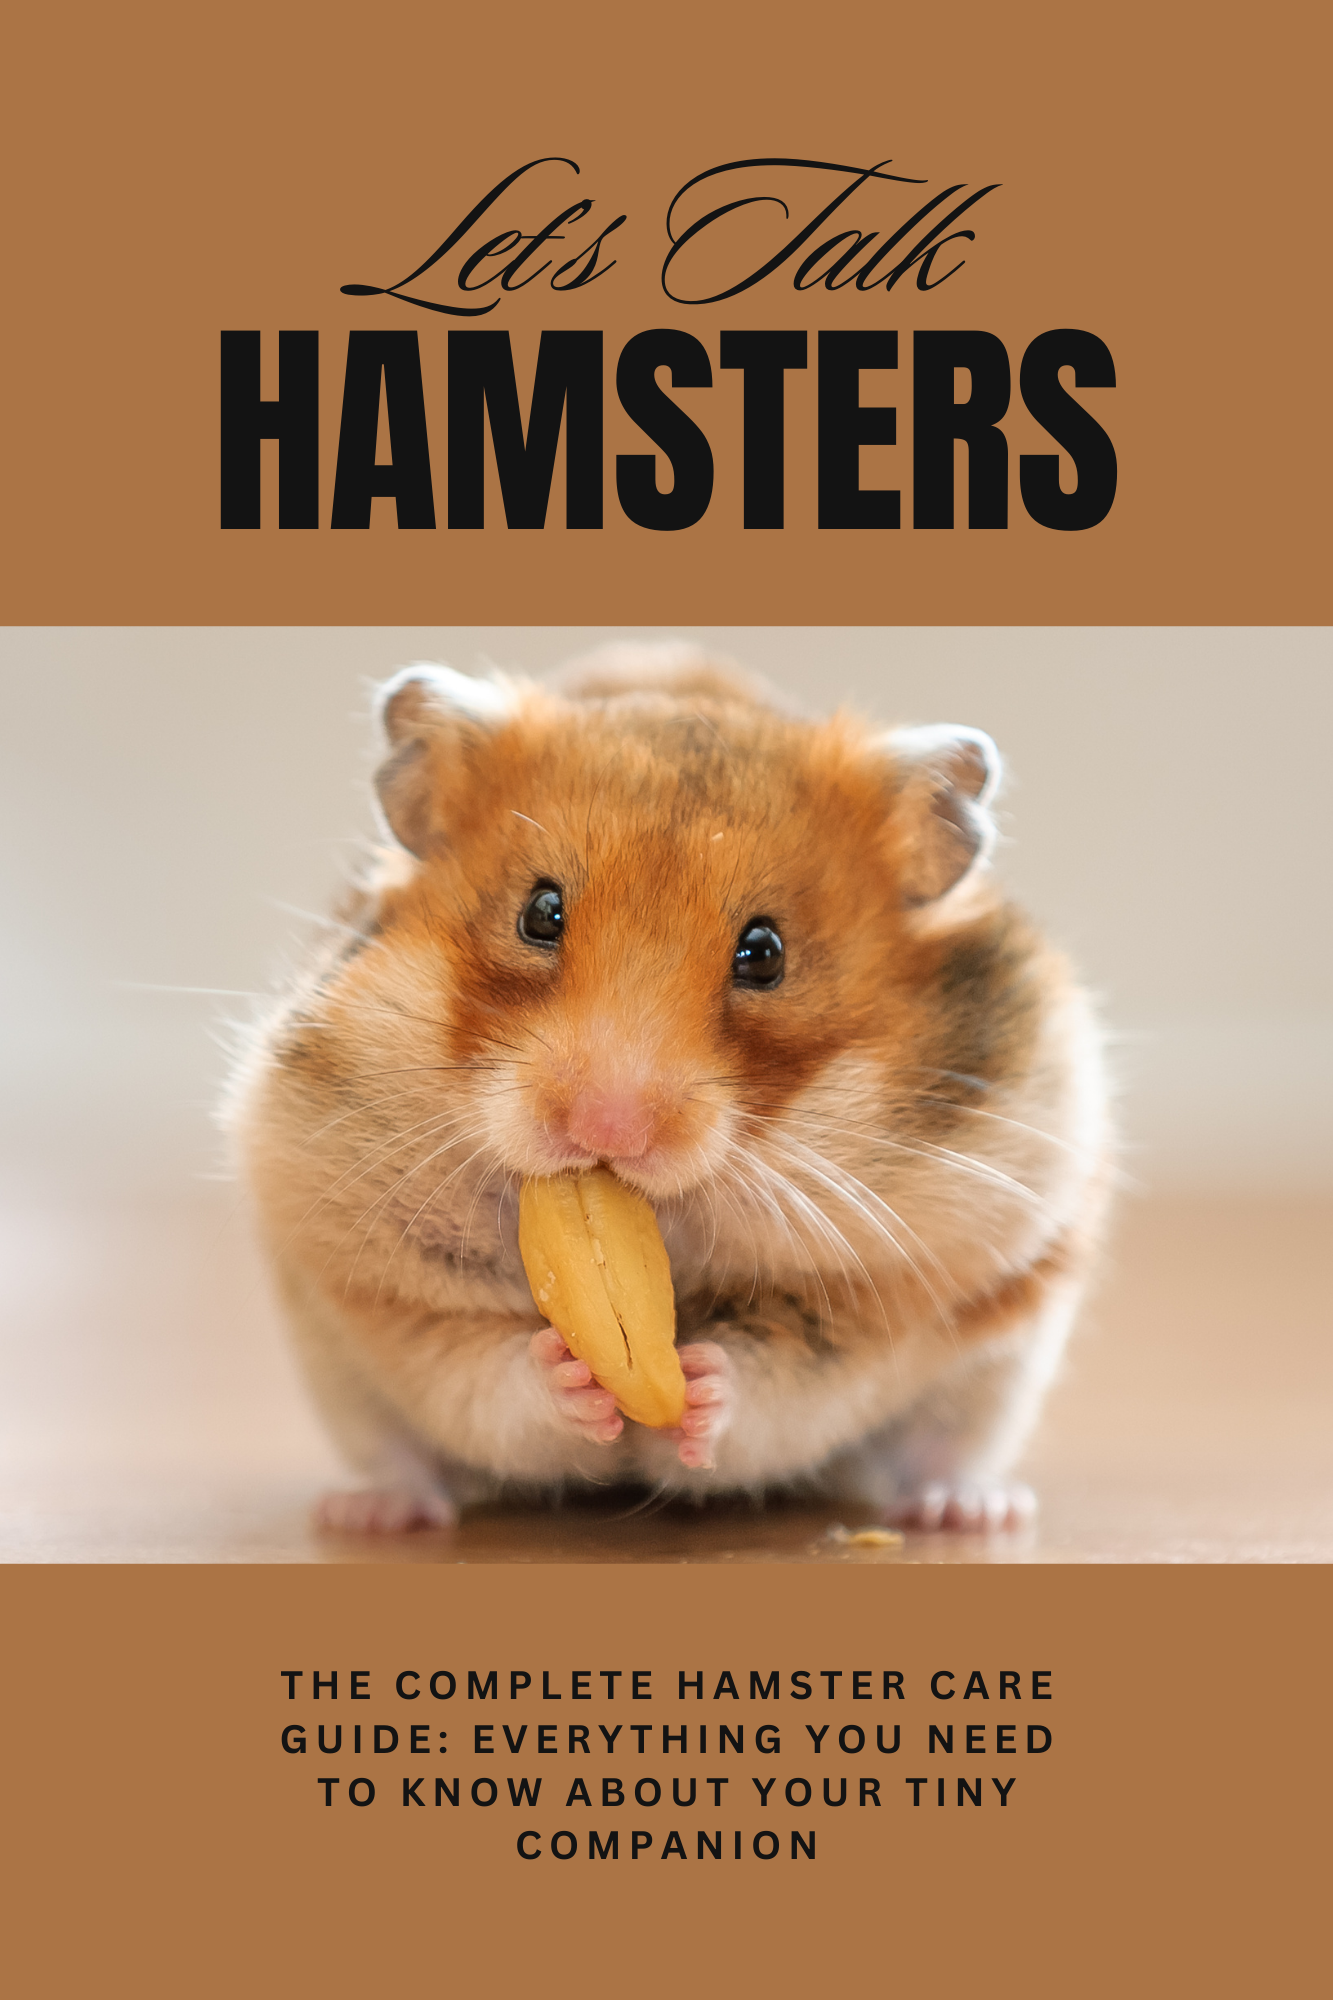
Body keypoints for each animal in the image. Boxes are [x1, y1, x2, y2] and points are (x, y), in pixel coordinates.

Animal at [227, 643, 1110, 1534]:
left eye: (765, 953)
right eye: (539, 913)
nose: (606, 1133)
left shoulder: (887, 1295)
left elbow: (783, 1380)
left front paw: (699, 1386)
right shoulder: (381, 1283)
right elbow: (484, 1370)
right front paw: (569, 1375)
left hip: (999, 1371)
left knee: (939, 1451)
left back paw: (969, 1512)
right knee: (398, 1454)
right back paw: (371, 1513)